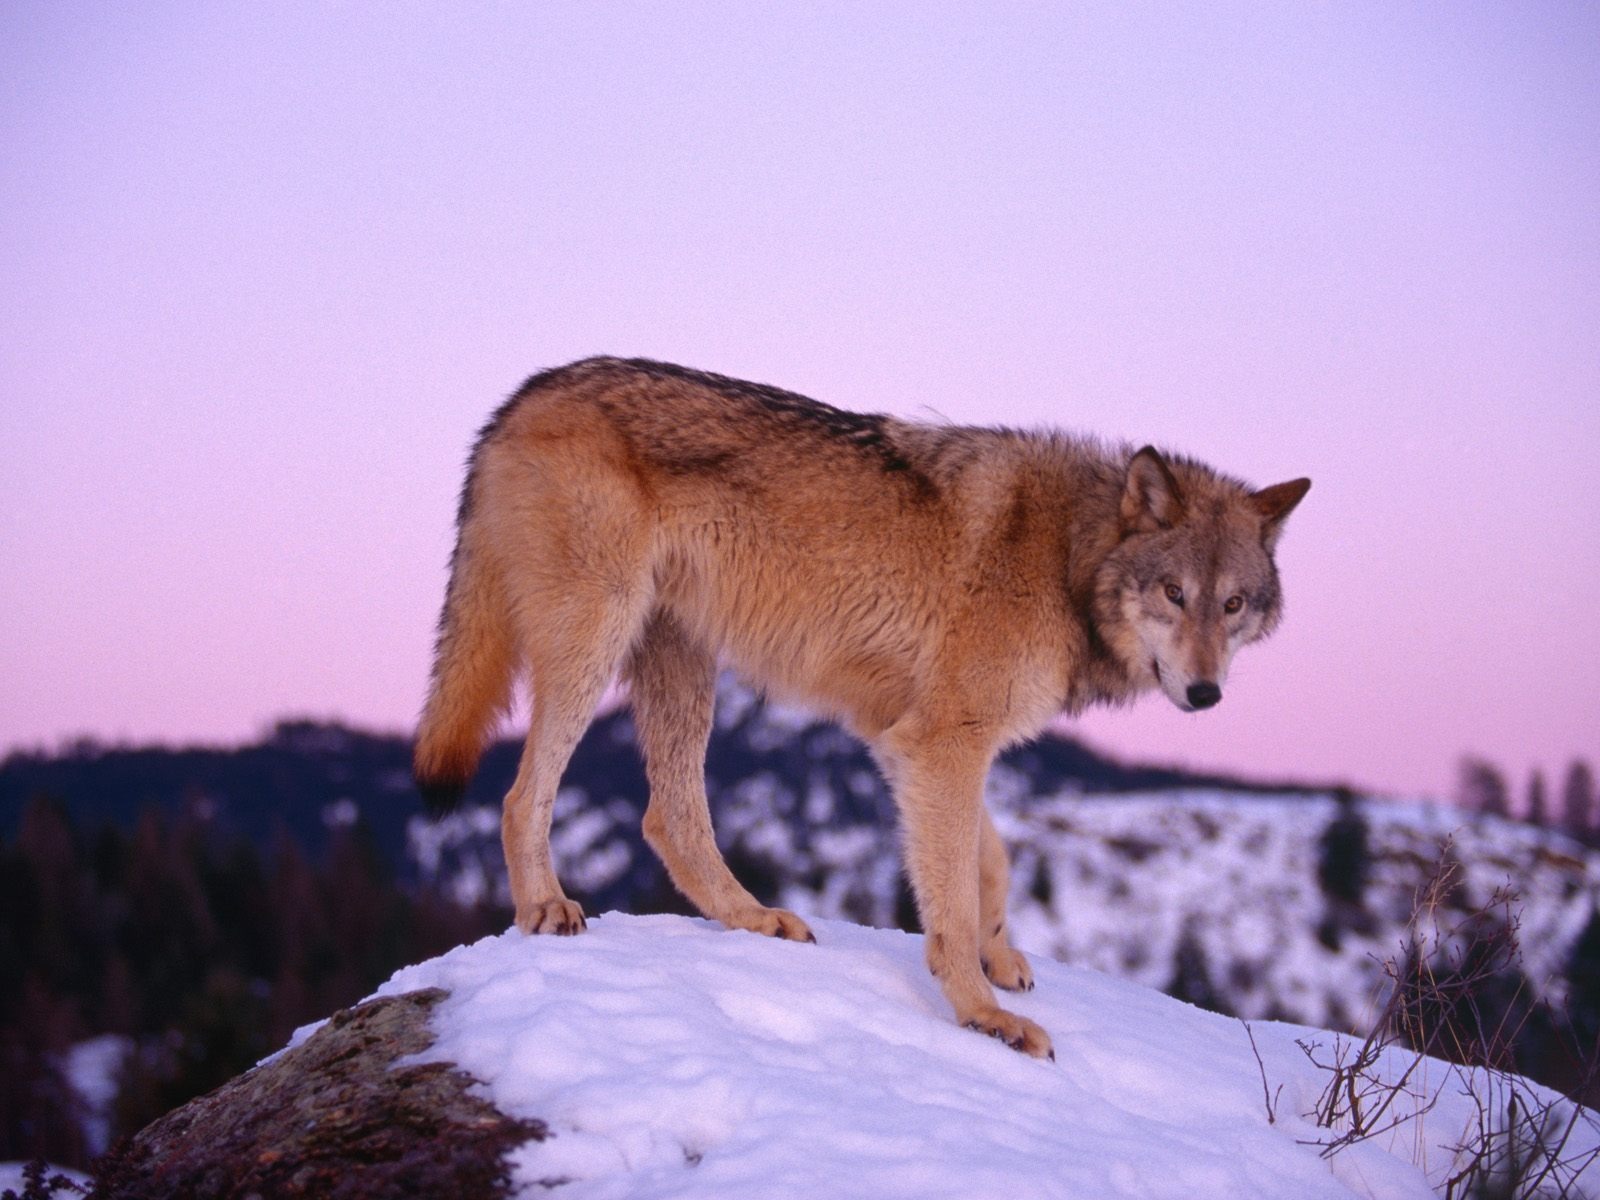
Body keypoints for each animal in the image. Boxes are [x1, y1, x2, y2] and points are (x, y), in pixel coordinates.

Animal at [414, 357, 1309, 1058]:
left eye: (1232, 604)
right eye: (1173, 593)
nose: (1205, 693)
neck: (1067, 557)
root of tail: (524, 394)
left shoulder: (909, 739)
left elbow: (990, 860)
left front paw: (1000, 960)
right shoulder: (943, 744)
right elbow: (953, 895)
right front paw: (982, 1015)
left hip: (682, 664)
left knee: (668, 819)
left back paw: (754, 919)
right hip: (595, 642)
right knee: (521, 795)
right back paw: (545, 908)